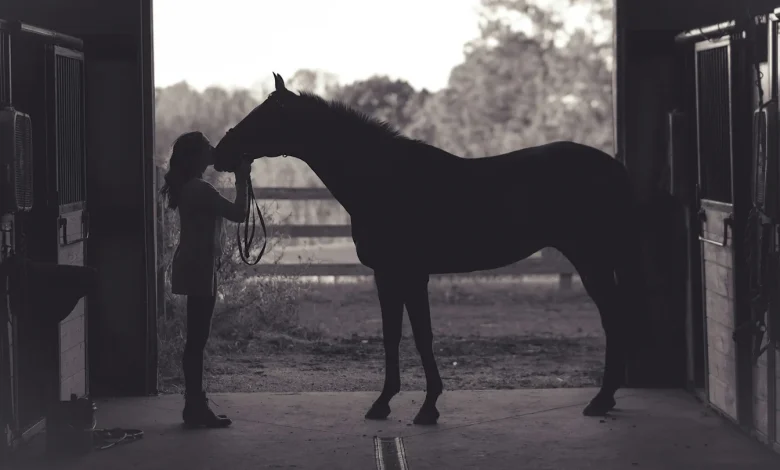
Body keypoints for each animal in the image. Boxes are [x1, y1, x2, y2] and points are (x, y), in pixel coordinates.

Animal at [213, 72, 644, 425]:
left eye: (262, 116)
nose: (220, 153)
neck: (385, 178)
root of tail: (614, 166)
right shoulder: (389, 275)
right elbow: (395, 335)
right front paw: (389, 403)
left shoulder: (408, 273)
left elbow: (419, 335)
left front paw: (424, 406)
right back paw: (605, 399)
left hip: (591, 259)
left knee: (614, 318)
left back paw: (601, 399)